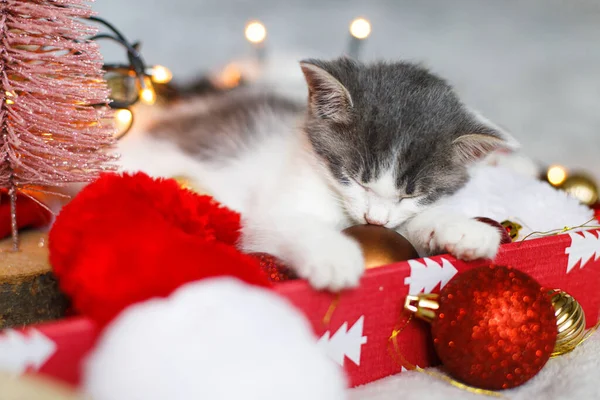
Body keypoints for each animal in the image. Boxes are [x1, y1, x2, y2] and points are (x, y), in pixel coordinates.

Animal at [115, 57, 516, 290]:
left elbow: (411, 226)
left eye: (412, 194)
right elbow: (291, 224)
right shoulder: (264, 214)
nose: (374, 219)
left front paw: (462, 230)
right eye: (353, 177)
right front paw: (333, 256)